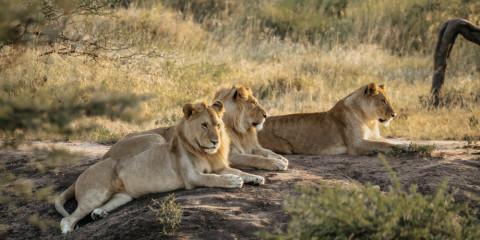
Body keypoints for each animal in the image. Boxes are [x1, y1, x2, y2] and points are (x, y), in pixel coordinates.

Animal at [54, 101, 264, 232]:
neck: (206, 152)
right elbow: (213, 178)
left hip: (123, 196)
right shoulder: (193, 177)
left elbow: (240, 171)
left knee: (100, 207)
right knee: (68, 218)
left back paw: (99, 214)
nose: (215, 141)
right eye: (204, 125)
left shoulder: (219, 166)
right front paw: (232, 181)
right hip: (96, 194)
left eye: (218, 125)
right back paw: (69, 229)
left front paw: (256, 178)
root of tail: (80, 176)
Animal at [105, 87, 288, 172]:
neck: (241, 130)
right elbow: (254, 158)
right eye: (253, 103)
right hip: (155, 138)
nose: (266, 115)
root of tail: (107, 153)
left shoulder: (251, 146)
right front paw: (276, 163)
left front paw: (280, 158)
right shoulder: (229, 155)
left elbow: (265, 151)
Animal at [258, 83, 398, 155]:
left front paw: (403, 145)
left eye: (389, 100)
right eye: (383, 101)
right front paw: (400, 148)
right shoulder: (355, 144)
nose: (394, 114)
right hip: (285, 147)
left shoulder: (374, 137)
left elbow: (389, 141)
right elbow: (384, 144)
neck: (370, 120)